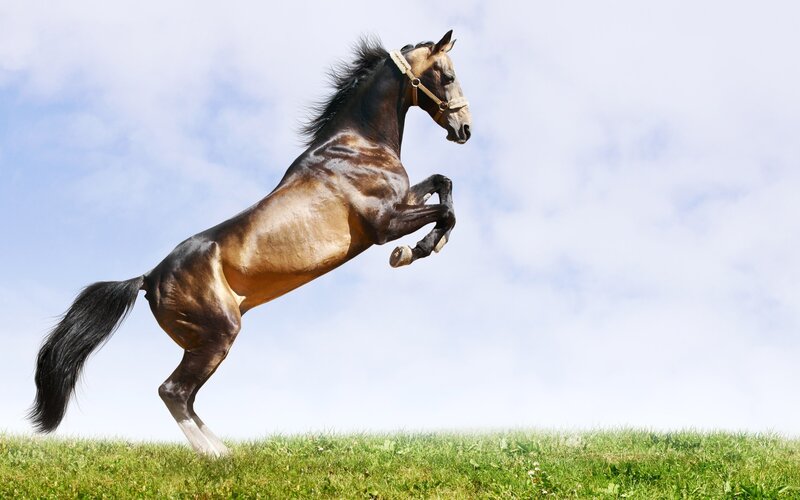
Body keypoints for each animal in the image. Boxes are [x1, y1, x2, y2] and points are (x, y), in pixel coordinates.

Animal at [30, 30, 471, 457]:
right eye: (448, 76)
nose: (464, 129)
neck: (358, 144)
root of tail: (148, 278)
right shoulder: (383, 224)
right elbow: (445, 212)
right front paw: (412, 252)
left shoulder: (403, 201)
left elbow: (444, 184)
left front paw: (427, 244)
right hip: (218, 334)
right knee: (173, 391)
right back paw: (214, 455)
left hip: (201, 342)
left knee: (186, 396)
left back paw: (226, 450)